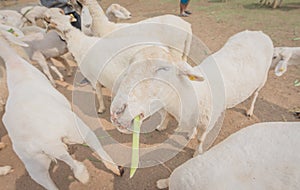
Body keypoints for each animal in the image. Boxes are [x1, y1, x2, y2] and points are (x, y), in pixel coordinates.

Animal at [110, 30, 274, 154]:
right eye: (130, 65)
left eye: (163, 68)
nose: (117, 111)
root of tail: (258, 33)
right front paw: (187, 133)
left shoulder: (208, 123)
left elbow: (201, 140)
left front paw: (197, 152)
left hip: (262, 80)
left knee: (255, 94)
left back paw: (250, 110)